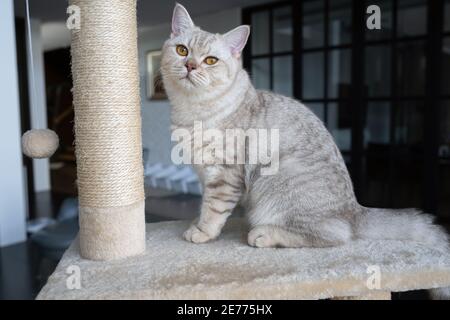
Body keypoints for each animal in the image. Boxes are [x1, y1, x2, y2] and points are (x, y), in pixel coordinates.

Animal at [160, 1, 448, 278]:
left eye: (210, 60)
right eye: (182, 51)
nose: (190, 66)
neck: (193, 109)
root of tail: (355, 210)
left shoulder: (224, 174)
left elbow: (213, 208)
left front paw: (202, 231)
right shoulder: (204, 173)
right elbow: (203, 204)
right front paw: (197, 223)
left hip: (278, 184)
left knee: (335, 235)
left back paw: (265, 234)